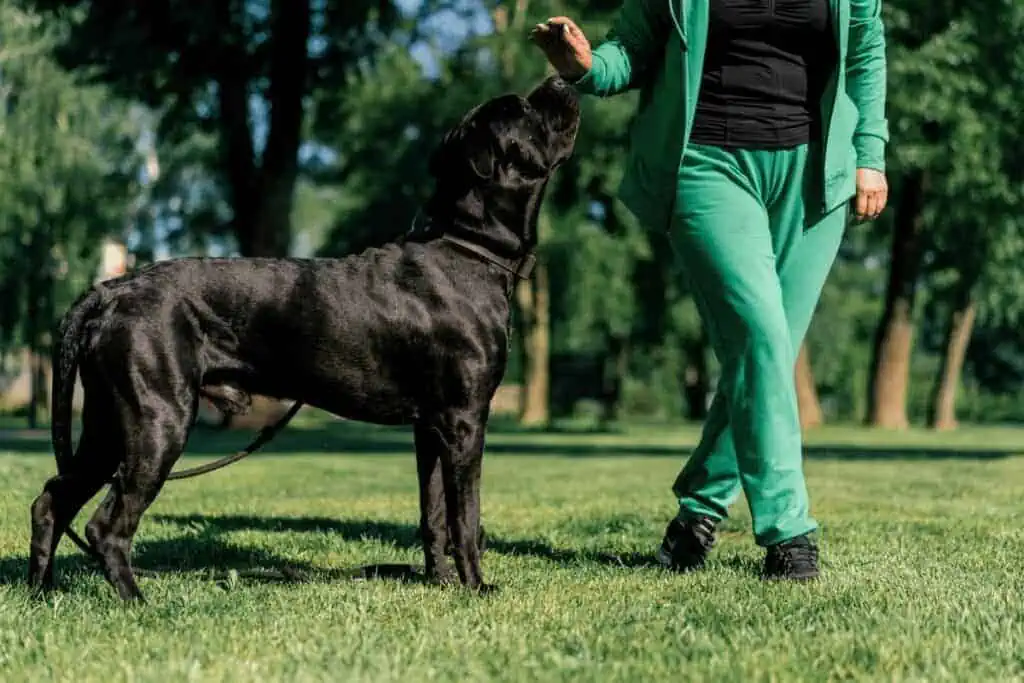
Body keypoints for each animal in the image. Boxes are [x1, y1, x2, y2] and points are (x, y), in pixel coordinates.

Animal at [25, 73, 577, 598]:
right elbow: (467, 516)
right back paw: (137, 601)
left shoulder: (432, 427)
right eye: (522, 108)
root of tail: (112, 289)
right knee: (106, 525)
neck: (467, 246)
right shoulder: (464, 422)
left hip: (106, 427)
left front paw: (440, 584)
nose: (559, 81)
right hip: (156, 423)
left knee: (51, 500)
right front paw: (476, 587)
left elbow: (434, 513)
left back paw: (41, 593)